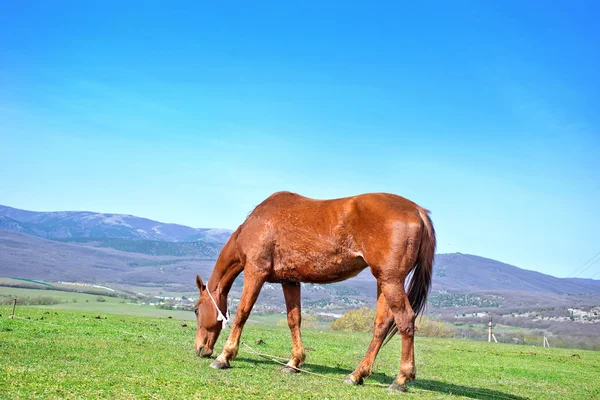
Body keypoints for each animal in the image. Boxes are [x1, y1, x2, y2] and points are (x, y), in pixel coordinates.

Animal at [195, 192, 434, 392]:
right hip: (383, 282)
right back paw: (357, 375)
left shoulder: (255, 272)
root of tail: (417, 210)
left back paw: (400, 379)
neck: (256, 224)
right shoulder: (290, 281)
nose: (199, 349)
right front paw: (294, 362)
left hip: (391, 281)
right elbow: (294, 320)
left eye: (196, 310)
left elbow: (242, 314)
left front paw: (225, 356)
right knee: (382, 325)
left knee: (405, 320)